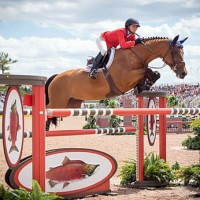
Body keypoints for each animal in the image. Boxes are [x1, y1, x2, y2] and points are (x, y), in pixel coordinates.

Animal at [45, 34, 188, 128]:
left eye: (183, 52)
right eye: (175, 52)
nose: (183, 73)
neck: (135, 56)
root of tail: (55, 77)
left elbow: (154, 73)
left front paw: (143, 86)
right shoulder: (125, 80)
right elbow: (146, 71)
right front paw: (144, 84)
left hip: (71, 104)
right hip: (58, 102)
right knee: (46, 110)